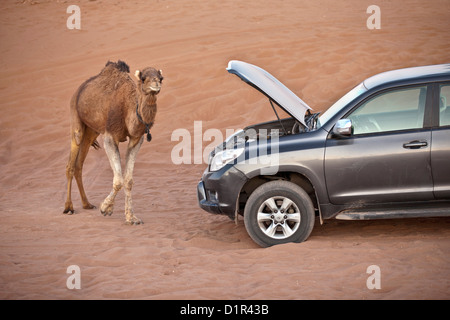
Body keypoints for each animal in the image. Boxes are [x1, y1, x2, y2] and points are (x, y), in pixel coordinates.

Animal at [62, 60, 163, 225]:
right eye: (143, 78)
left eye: (161, 78)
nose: (156, 84)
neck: (129, 108)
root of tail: (80, 88)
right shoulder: (110, 137)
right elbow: (118, 180)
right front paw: (106, 209)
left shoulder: (136, 138)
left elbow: (128, 180)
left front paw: (131, 217)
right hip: (75, 115)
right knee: (71, 162)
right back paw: (68, 207)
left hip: (92, 130)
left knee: (79, 165)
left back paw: (87, 204)